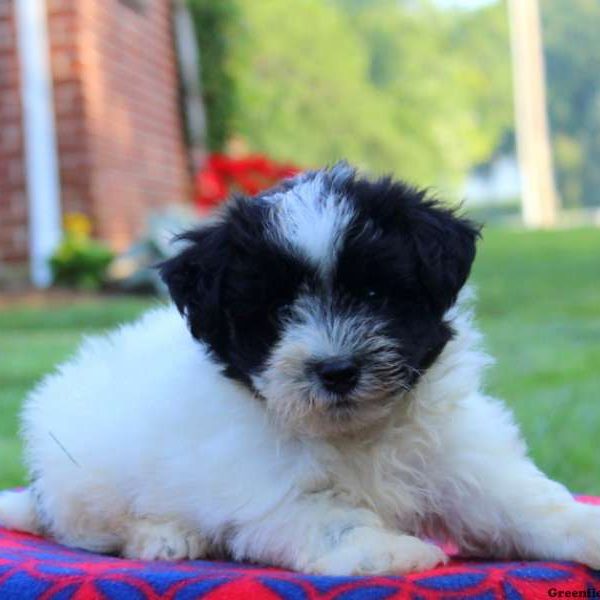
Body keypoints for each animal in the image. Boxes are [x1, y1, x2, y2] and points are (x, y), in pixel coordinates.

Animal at [1, 162, 600, 576]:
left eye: (374, 294)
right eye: (275, 312)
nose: (336, 370)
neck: (355, 434)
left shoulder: (459, 455)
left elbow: (524, 500)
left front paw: (585, 527)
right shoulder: (267, 486)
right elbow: (331, 518)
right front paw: (390, 550)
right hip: (85, 477)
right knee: (88, 529)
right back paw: (163, 538)